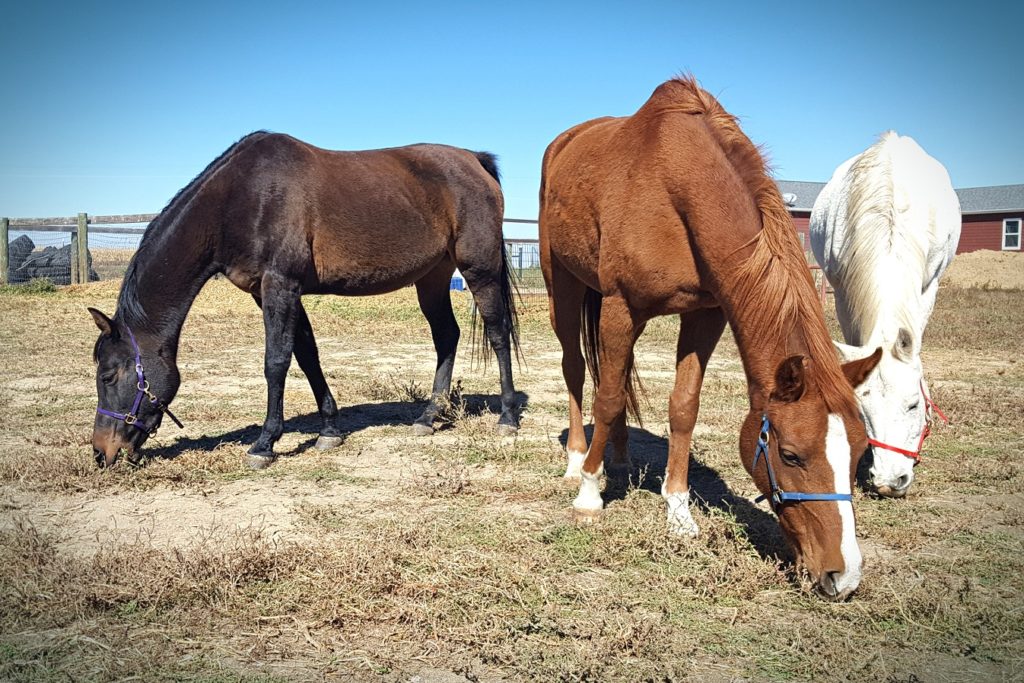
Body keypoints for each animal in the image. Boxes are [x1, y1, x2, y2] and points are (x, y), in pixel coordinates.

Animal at [89, 131, 520, 471]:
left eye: (108, 375)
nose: (101, 451)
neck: (240, 198)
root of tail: (475, 160)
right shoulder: (270, 292)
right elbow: (307, 355)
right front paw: (329, 430)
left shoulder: (281, 285)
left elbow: (276, 362)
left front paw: (265, 443)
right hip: (432, 278)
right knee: (446, 336)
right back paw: (429, 417)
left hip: (479, 270)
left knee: (498, 334)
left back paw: (508, 417)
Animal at [540, 77, 884, 602]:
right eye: (790, 455)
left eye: (861, 451)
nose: (842, 577)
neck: (676, 183)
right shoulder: (621, 306)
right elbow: (608, 396)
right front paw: (588, 495)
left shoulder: (705, 315)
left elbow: (682, 407)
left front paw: (678, 512)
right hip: (564, 284)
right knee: (578, 371)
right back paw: (580, 459)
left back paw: (618, 454)